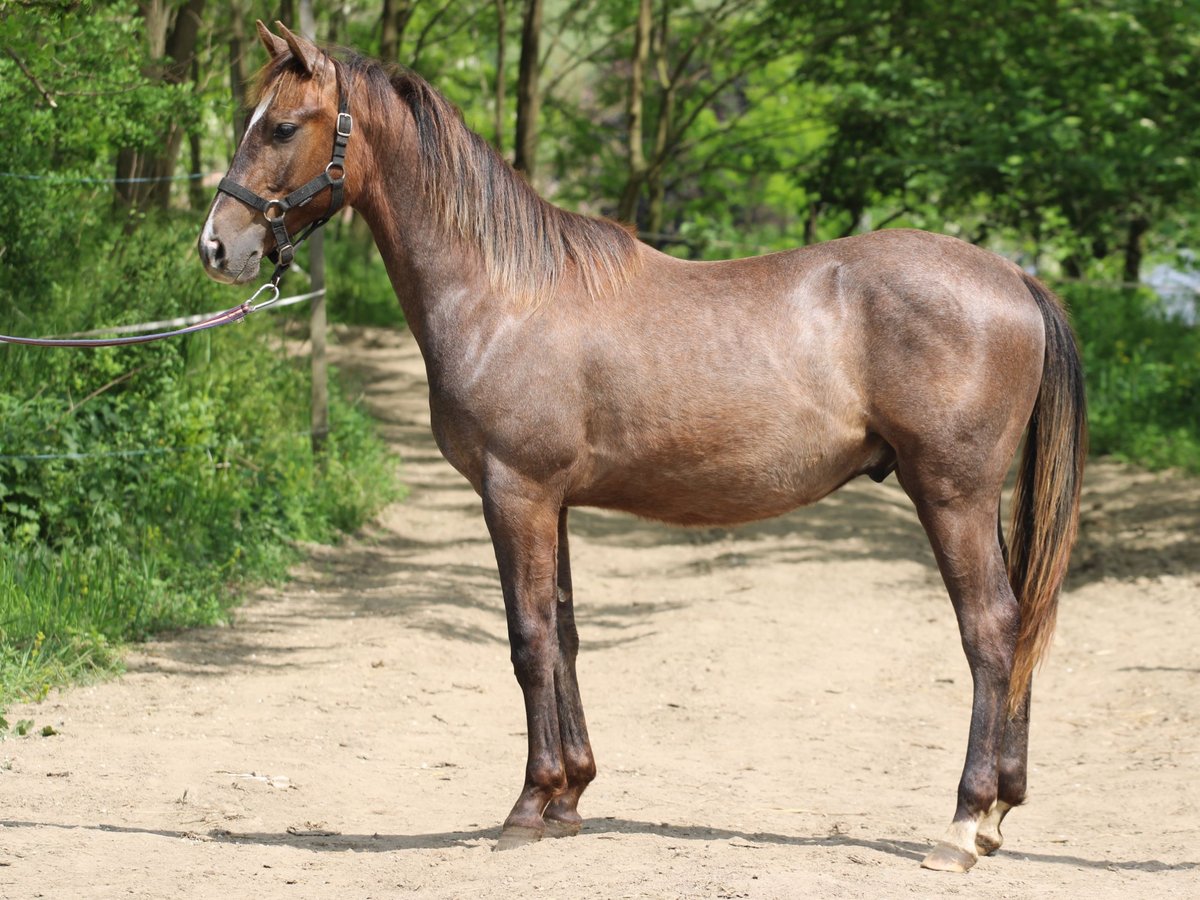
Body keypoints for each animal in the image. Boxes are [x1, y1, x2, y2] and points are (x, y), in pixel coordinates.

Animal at [199, 24, 1089, 878]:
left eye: (281, 126)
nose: (216, 247)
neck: (505, 293)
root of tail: (1014, 278)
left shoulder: (513, 492)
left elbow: (528, 641)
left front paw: (530, 805)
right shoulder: (550, 502)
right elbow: (563, 635)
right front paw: (570, 796)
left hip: (950, 495)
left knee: (989, 631)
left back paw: (964, 823)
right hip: (977, 501)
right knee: (1016, 626)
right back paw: (999, 813)